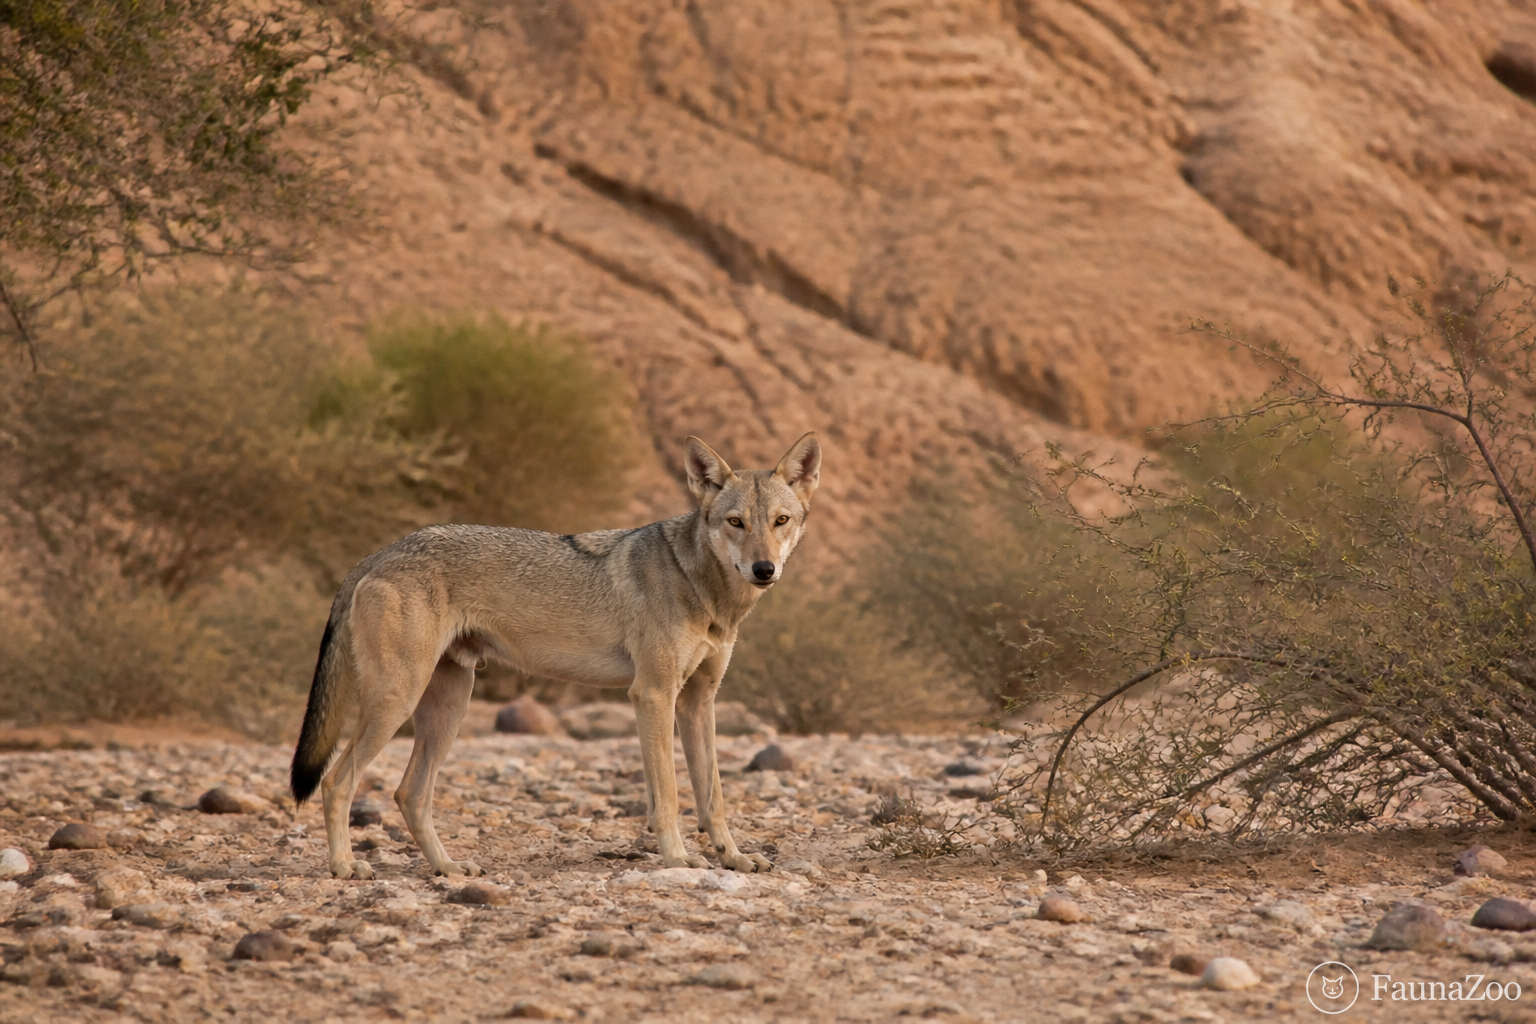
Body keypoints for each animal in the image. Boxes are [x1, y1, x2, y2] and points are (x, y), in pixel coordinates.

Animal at [289, 432, 822, 880]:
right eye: (736, 523)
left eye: (780, 521)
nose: (764, 568)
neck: (703, 587)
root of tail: (379, 554)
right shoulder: (652, 694)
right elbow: (669, 795)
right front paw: (676, 858)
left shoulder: (697, 701)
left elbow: (713, 796)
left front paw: (734, 857)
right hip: (398, 701)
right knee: (337, 782)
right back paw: (345, 867)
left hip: (448, 707)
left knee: (409, 794)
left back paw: (448, 868)